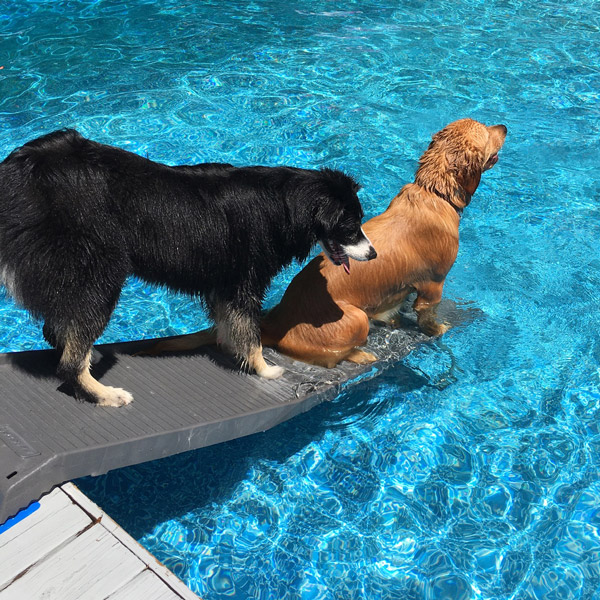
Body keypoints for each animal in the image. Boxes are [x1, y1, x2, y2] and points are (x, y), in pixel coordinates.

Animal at [0, 131, 376, 408]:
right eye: (351, 227)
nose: (373, 254)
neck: (285, 203)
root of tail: (24, 167)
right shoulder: (244, 282)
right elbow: (250, 333)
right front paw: (264, 370)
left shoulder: (223, 285)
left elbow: (230, 326)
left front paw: (234, 353)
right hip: (99, 275)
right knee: (68, 356)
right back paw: (104, 394)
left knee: (57, 329)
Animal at [145, 119, 506, 368]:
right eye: (487, 131)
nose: (504, 125)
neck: (433, 194)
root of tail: (275, 320)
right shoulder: (433, 285)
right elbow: (428, 317)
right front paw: (437, 329)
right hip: (356, 319)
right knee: (334, 357)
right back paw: (362, 356)